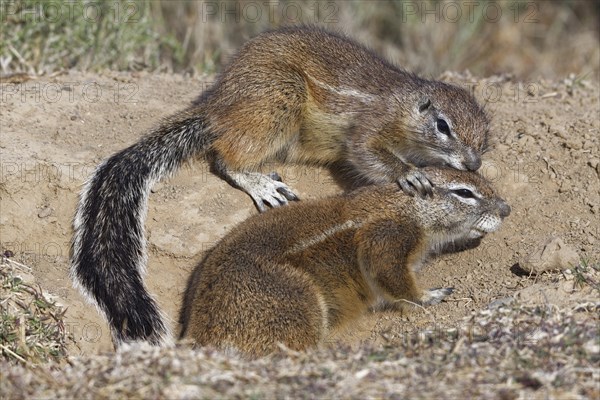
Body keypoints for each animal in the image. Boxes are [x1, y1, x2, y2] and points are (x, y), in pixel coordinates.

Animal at [70, 25, 492, 346]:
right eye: (442, 126)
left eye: (485, 134)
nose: (473, 163)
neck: (405, 105)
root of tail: (217, 104)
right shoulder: (371, 125)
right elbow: (366, 153)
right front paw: (407, 174)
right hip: (278, 97)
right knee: (226, 155)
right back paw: (260, 183)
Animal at [180, 167, 508, 358]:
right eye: (464, 192)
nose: (506, 209)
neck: (406, 207)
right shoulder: (388, 237)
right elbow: (393, 278)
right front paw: (430, 295)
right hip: (297, 303)